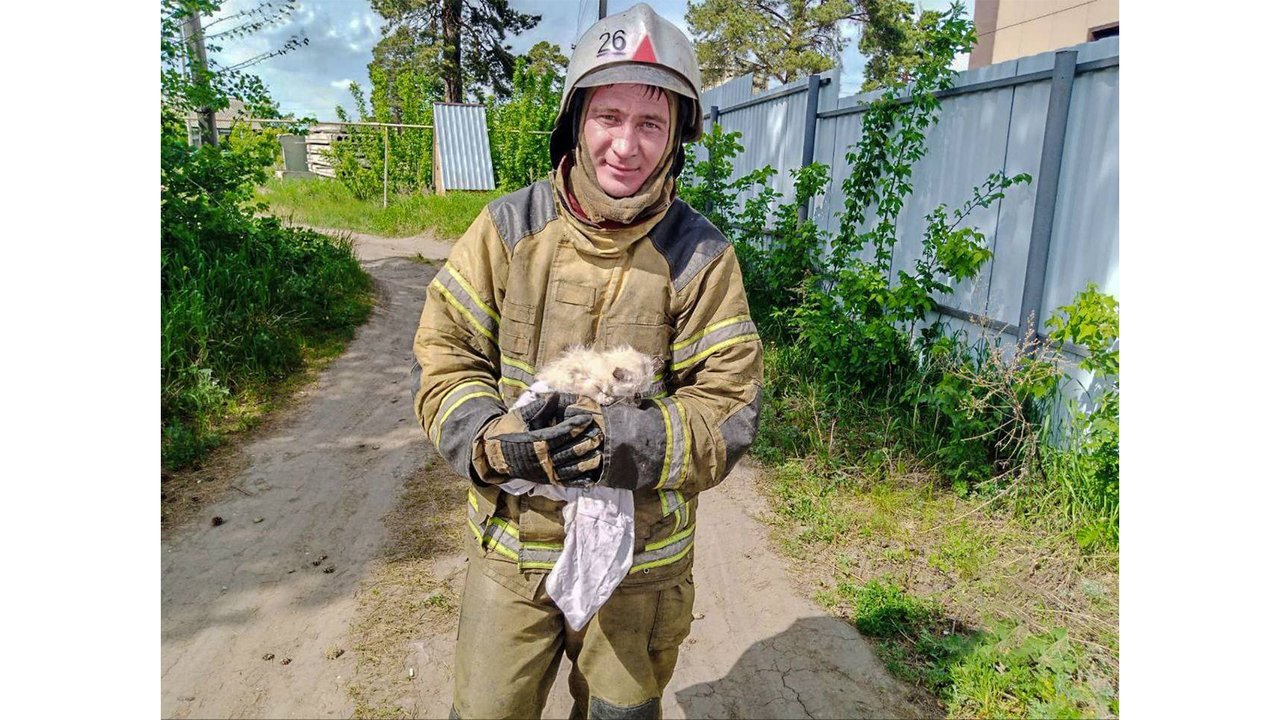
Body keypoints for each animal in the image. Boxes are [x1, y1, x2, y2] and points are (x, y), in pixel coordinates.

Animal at [535, 343, 665, 404]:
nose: (637, 398)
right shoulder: (586, 384)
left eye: (641, 392)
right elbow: (596, 392)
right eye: (632, 391)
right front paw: (607, 400)